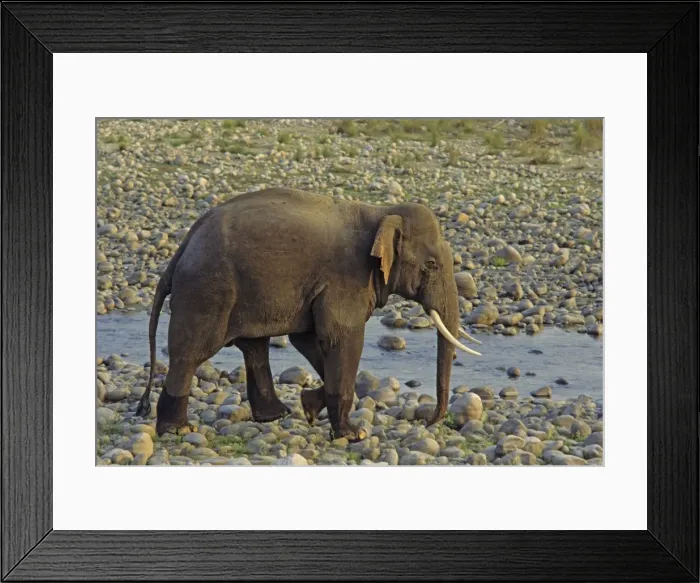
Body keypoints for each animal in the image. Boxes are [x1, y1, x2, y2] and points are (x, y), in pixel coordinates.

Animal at [135, 187, 482, 442]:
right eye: (431, 265)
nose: (428, 424)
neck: (382, 211)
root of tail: (183, 247)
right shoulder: (347, 279)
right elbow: (342, 337)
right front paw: (353, 435)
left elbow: (308, 338)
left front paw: (310, 406)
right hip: (209, 290)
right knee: (192, 352)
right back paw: (179, 430)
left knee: (254, 347)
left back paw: (275, 415)